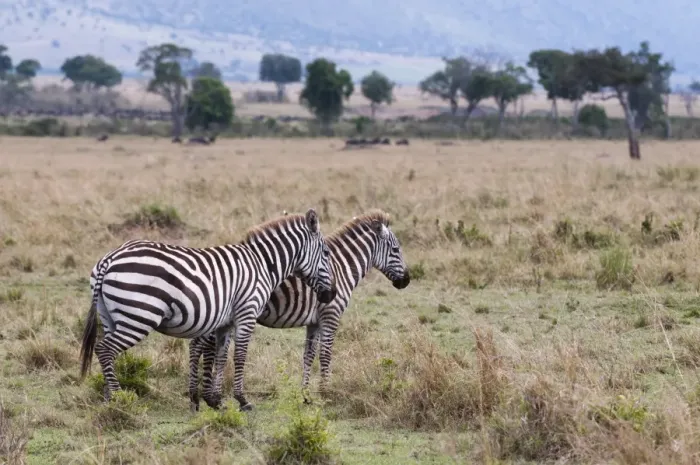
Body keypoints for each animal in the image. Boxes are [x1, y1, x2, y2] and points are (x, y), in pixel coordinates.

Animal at [79, 208, 337, 412]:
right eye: (326, 253)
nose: (331, 295)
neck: (263, 264)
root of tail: (109, 258)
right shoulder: (247, 312)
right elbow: (240, 355)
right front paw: (242, 400)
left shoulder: (226, 322)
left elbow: (221, 357)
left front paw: (214, 400)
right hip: (139, 316)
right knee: (105, 350)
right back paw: (118, 398)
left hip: (110, 317)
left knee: (106, 351)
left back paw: (107, 400)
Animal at [188, 209, 411, 411]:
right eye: (396, 249)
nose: (407, 281)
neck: (341, 267)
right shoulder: (331, 315)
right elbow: (325, 354)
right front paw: (325, 394)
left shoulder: (314, 323)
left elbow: (309, 355)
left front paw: (306, 396)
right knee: (202, 346)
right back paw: (205, 398)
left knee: (201, 345)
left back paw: (202, 398)